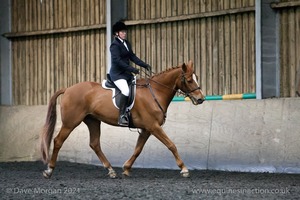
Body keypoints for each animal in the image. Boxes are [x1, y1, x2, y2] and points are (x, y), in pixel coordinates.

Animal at [41, 60, 205, 178]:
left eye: (197, 78)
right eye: (189, 80)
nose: (201, 99)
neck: (155, 92)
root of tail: (68, 89)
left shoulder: (147, 129)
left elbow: (138, 149)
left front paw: (126, 168)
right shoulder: (153, 126)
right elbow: (171, 145)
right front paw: (184, 169)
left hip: (93, 121)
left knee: (94, 144)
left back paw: (110, 170)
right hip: (70, 122)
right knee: (58, 141)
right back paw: (49, 170)